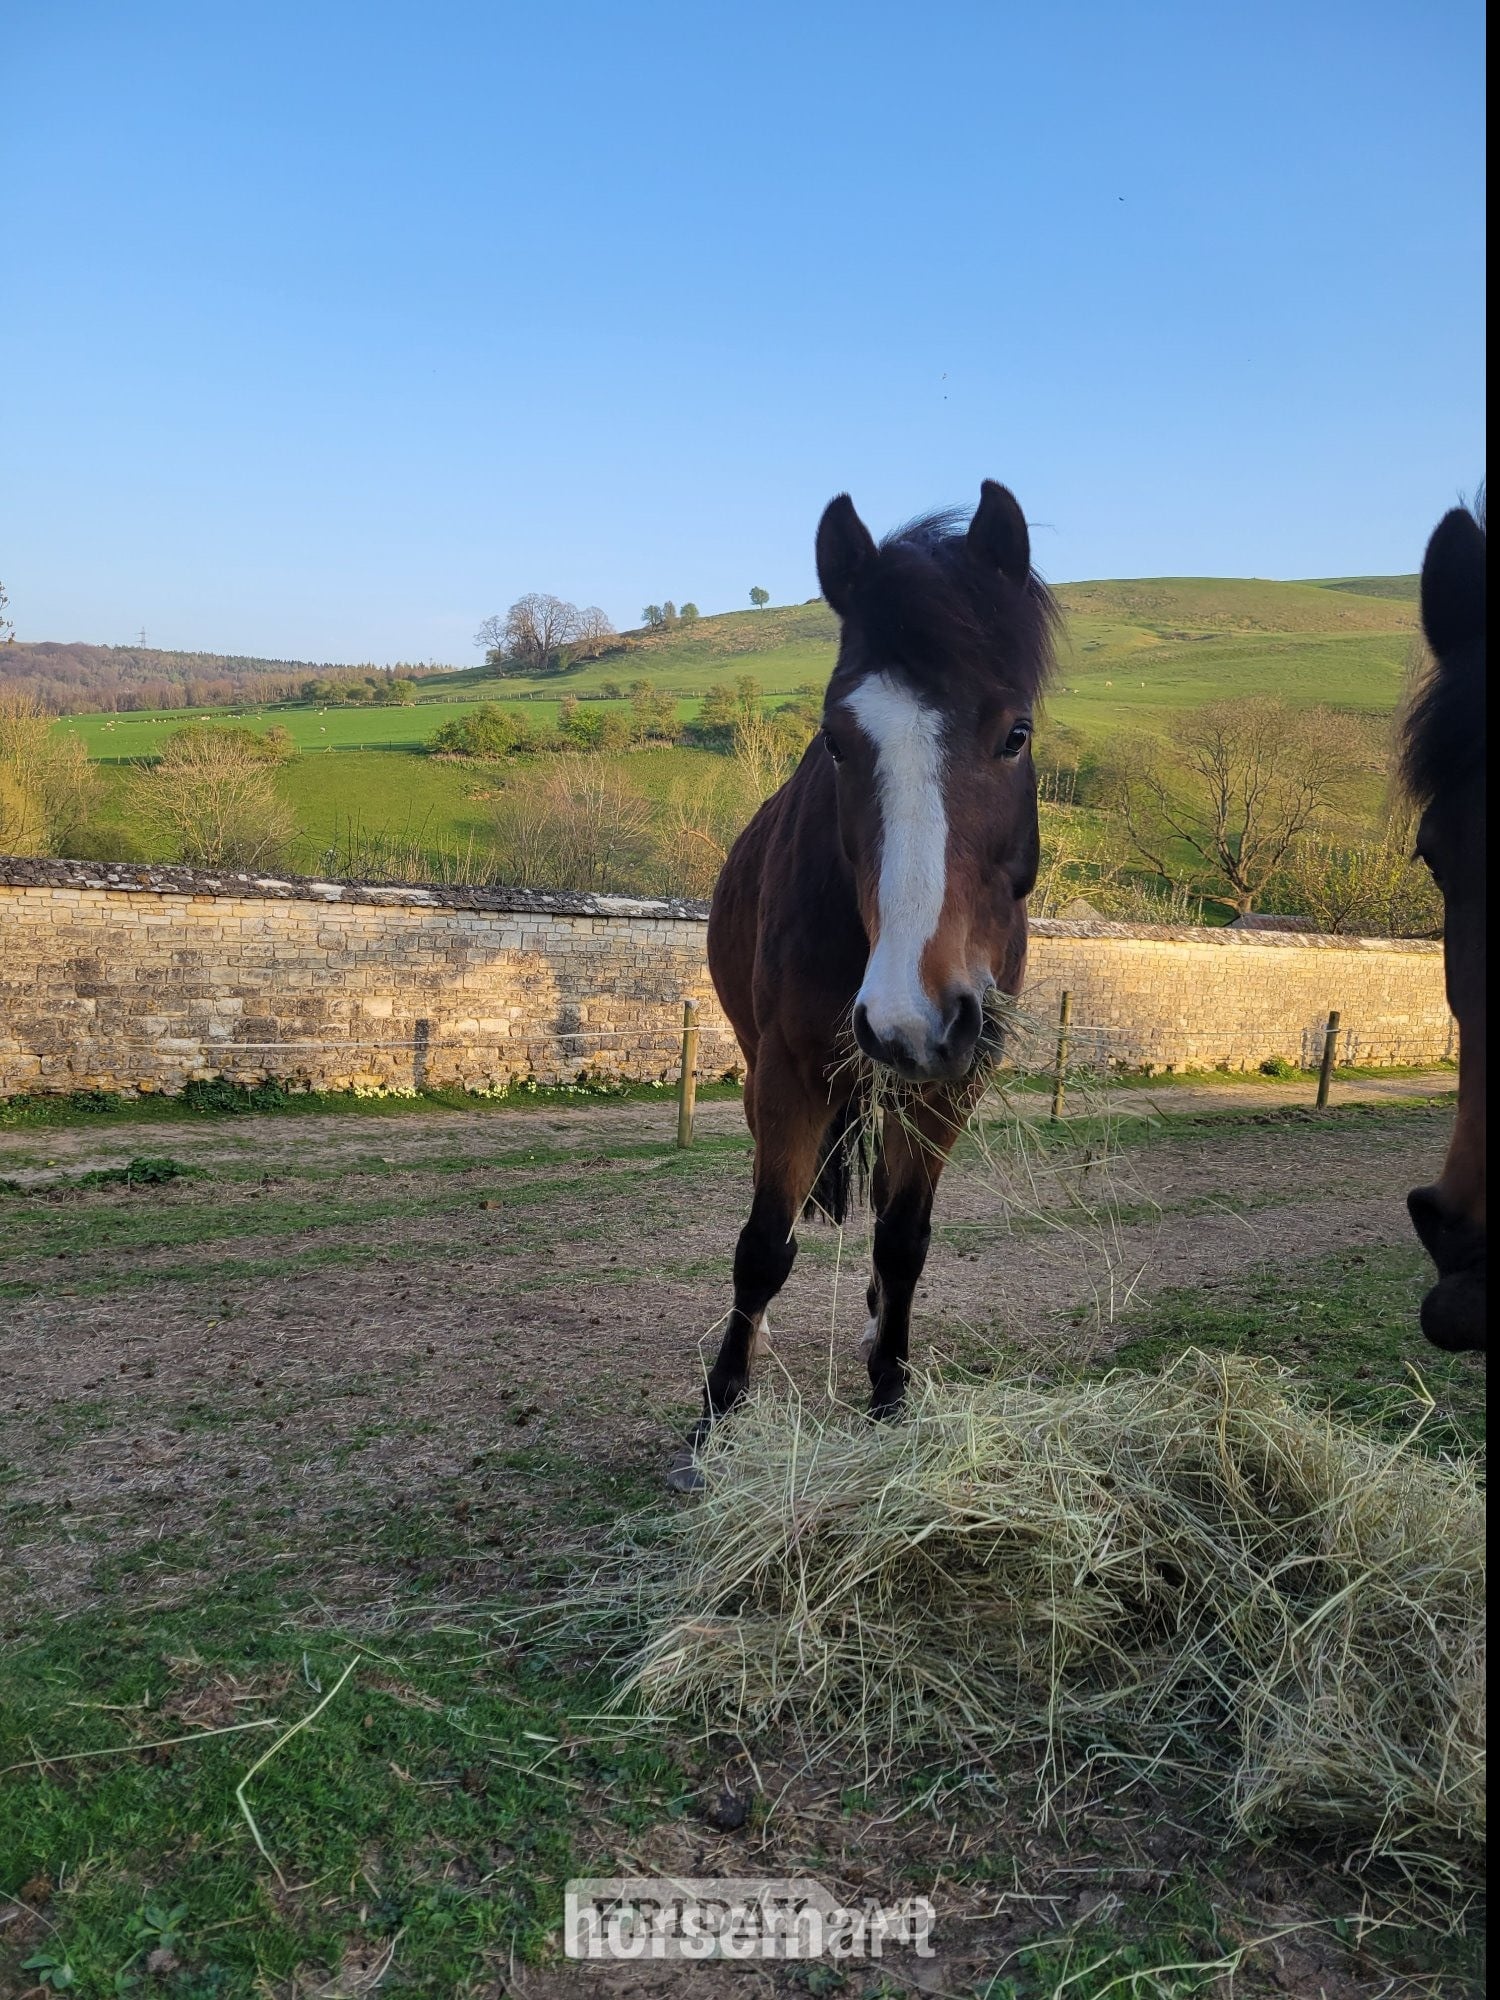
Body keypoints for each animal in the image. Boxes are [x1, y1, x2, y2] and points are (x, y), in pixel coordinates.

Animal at [670, 482, 1058, 1488]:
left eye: (1015, 733)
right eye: (837, 743)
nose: (908, 1018)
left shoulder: (953, 1081)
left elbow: (905, 1237)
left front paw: (890, 1389)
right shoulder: (790, 1073)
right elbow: (762, 1249)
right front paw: (718, 1412)